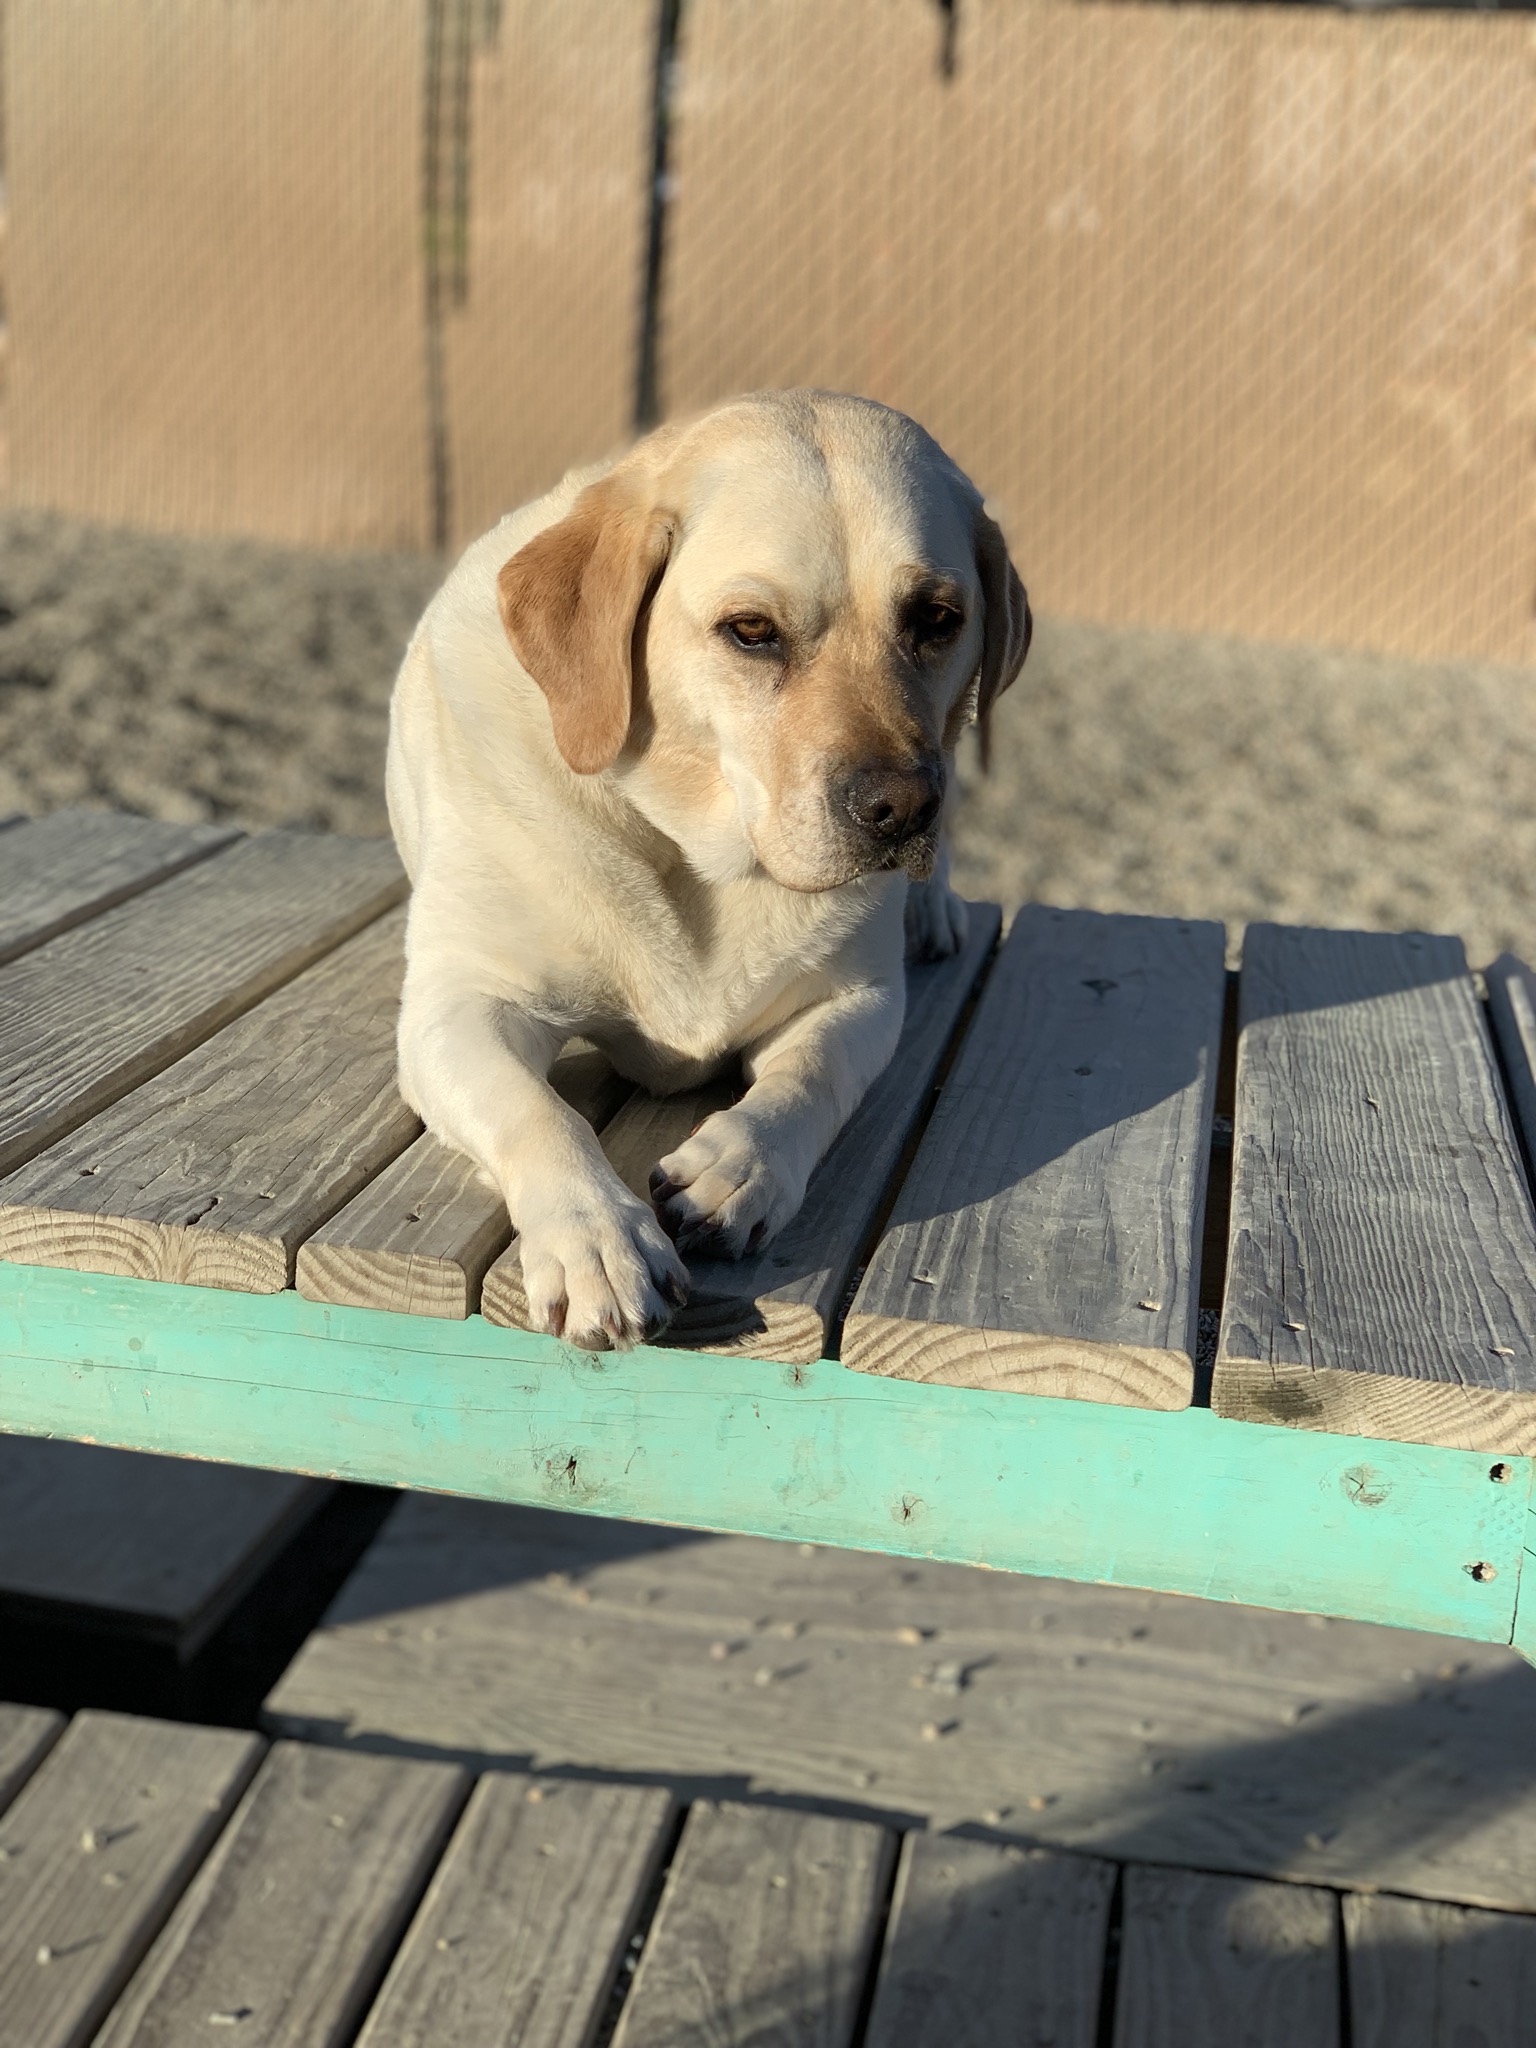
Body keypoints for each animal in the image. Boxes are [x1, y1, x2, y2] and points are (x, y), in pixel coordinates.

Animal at [387, 390, 1030, 1350]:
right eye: (752, 632)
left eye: (937, 620)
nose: (904, 809)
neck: (697, 855)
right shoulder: (457, 1006)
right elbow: (537, 1111)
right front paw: (596, 1236)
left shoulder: (859, 999)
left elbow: (809, 1078)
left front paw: (738, 1168)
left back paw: (934, 909)